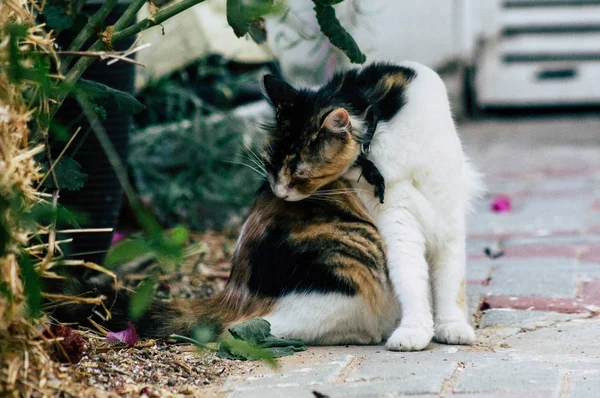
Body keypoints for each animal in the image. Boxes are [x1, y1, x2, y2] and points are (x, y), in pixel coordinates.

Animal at [260, 60, 480, 350]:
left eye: (300, 175)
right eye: (269, 165)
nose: (278, 193)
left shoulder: (447, 214)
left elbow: (451, 279)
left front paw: (452, 326)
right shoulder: (396, 219)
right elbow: (409, 275)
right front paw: (415, 330)